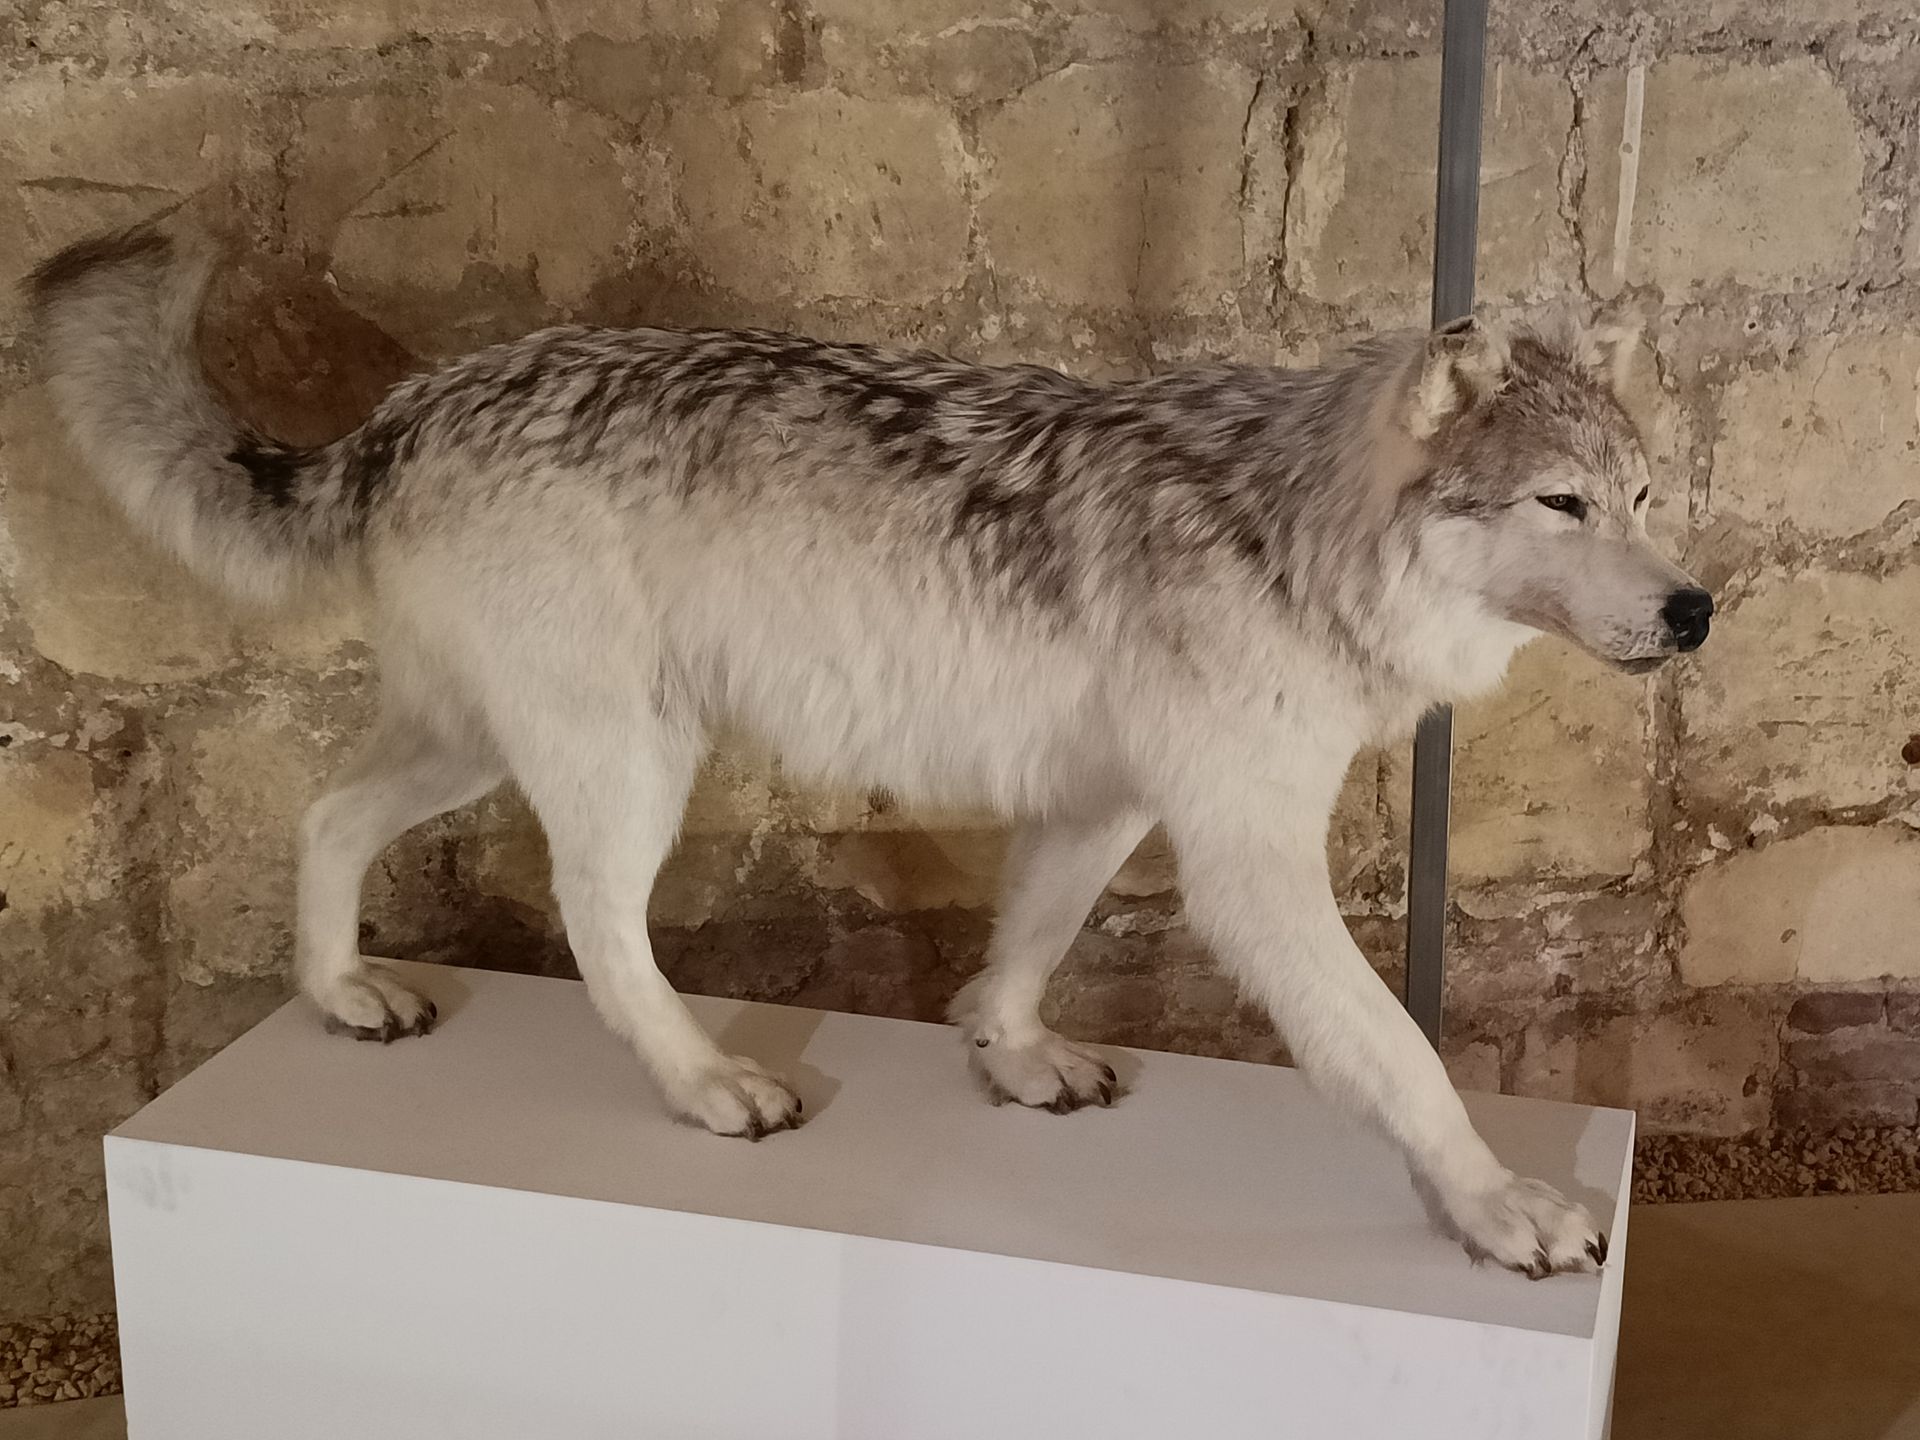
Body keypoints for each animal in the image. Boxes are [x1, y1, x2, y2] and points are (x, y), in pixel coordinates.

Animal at [26, 224, 1711, 1278]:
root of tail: (415, 400)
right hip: (624, 767)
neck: (1284, 530)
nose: (1696, 608)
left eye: (1641, 497)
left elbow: (1023, 946)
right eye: (1562, 503)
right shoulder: (1250, 869)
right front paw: (1500, 1208)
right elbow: (1409, 1063)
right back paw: (707, 1083)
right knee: (597, 930)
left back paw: (341, 995)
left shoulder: (1102, 808)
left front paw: (1011, 1055)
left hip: (474, 745)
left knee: (320, 818)